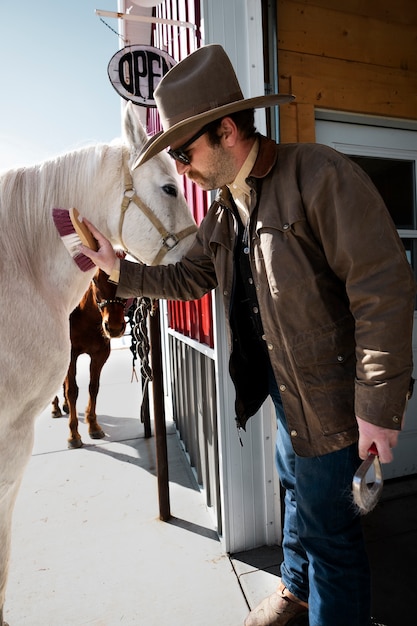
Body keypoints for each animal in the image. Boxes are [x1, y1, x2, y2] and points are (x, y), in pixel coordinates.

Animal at [52, 266, 127, 446]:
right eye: (94, 280)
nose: (114, 326)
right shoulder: (71, 356)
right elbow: (72, 390)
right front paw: (74, 435)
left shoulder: (100, 355)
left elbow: (93, 387)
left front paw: (93, 425)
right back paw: (55, 408)